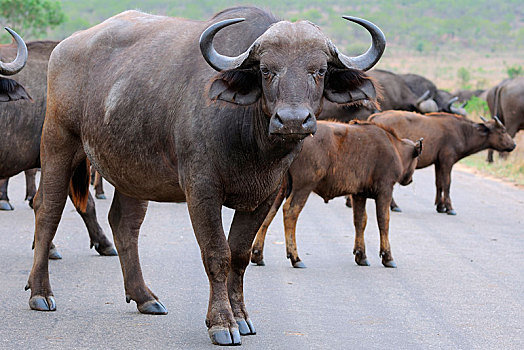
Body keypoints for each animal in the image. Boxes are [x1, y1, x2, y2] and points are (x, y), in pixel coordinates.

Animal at [24, 6, 384, 346]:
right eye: (266, 70)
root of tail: (64, 48)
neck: (252, 143)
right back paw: (40, 292)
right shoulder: (201, 191)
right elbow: (217, 254)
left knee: (124, 224)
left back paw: (144, 297)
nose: (293, 120)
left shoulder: (265, 195)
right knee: (48, 208)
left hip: (133, 170)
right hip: (58, 141)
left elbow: (239, 256)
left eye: (319, 70)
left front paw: (242, 317)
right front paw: (222, 323)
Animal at [250, 120, 422, 268]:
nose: (410, 179)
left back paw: (258, 255)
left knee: (268, 213)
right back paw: (295, 258)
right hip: (302, 188)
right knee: (290, 213)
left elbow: (360, 221)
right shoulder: (385, 191)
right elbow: (383, 222)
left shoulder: (359, 195)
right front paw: (388, 257)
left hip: (280, 190)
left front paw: (361, 255)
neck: (393, 145)